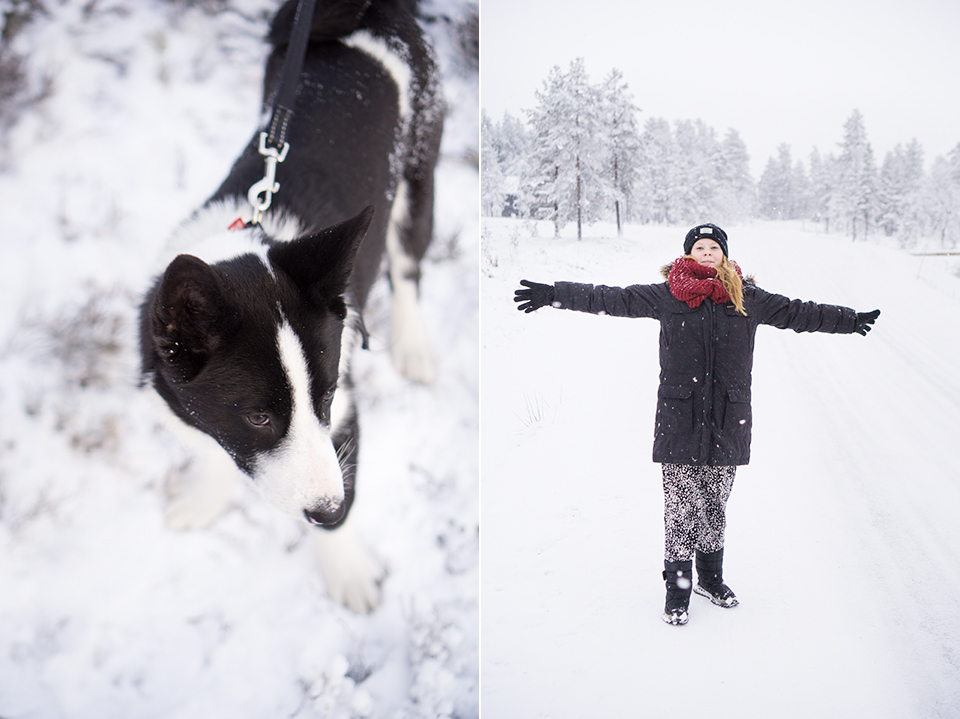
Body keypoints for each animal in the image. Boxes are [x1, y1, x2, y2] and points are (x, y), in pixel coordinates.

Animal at [138, 0, 442, 612]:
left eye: (325, 396)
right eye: (258, 416)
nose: (327, 508)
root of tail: (374, 13)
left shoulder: (343, 412)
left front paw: (347, 568)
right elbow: (210, 443)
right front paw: (205, 498)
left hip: (419, 166)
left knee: (408, 261)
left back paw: (414, 344)